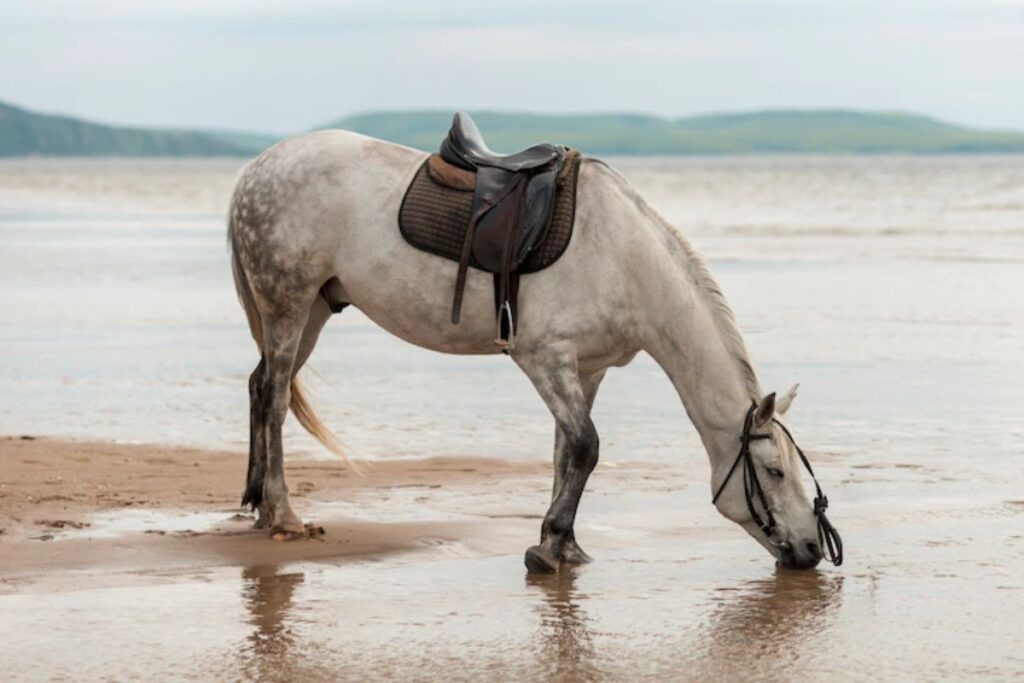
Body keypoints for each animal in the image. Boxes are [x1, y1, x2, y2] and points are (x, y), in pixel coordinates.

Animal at [230, 126, 839, 573]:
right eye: (773, 472)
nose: (813, 550)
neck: (626, 260)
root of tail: (255, 170)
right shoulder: (545, 359)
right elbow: (586, 446)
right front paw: (548, 548)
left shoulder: (588, 370)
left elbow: (566, 452)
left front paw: (563, 544)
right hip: (288, 303)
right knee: (277, 396)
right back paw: (283, 515)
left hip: (313, 309)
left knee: (261, 387)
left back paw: (258, 507)